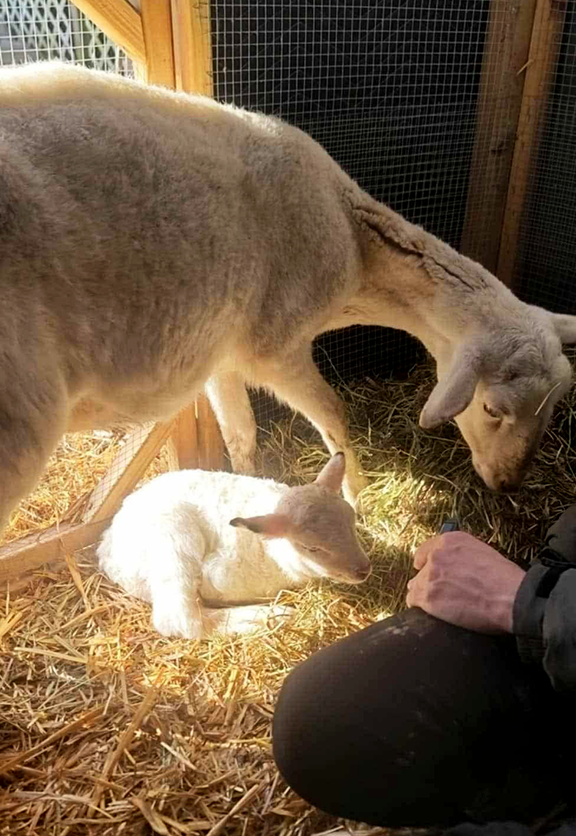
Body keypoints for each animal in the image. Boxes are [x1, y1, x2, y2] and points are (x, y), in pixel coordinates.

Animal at [0, 61, 575, 536]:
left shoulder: (222, 351)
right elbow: (334, 414)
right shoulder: (274, 346)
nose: (508, 484)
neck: (356, 251)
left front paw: (243, 491)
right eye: (492, 407)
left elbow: (239, 433)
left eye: (556, 406)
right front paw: (357, 496)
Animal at [96, 453, 370, 639]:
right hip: (174, 543)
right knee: (180, 619)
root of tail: (107, 546)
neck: (273, 551)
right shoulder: (219, 574)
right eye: (311, 548)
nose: (363, 570)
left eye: (351, 521)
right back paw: (267, 616)